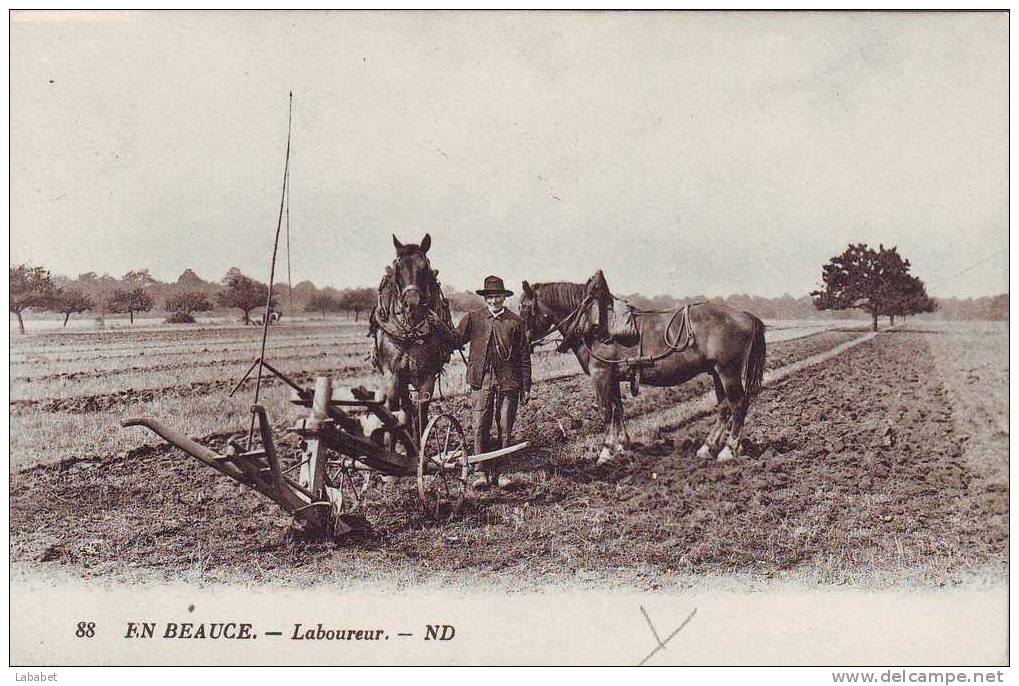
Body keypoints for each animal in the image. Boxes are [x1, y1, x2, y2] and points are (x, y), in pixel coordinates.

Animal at [517, 271, 766, 462]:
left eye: (524, 307)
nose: (523, 342)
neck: (592, 322)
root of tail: (746, 315)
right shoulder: (613, 375)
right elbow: (618, 409)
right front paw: (623, 446)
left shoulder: (601, 374)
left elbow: (605, 411)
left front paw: (605, 452)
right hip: (716, 372)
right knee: (724, 407)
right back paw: (707, 447)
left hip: (728, 371)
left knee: (738, 404)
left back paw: (729, 450)